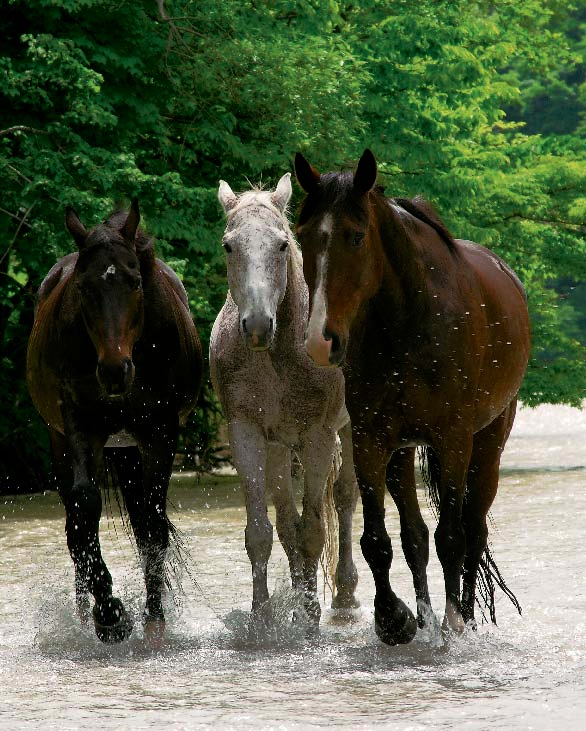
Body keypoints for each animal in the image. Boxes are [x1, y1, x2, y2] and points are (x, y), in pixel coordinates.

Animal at [26, 200, 201, 648]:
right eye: (83, 287)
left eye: (135, 282)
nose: (113, 371)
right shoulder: (80, 426)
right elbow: (85, 509)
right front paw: (110, 615)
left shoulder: (160, 433)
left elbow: (153, 526)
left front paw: (154, 620)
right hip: (63, 441)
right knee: (74, 522)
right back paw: (84, 615)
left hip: (128, 448)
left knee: (141, 521)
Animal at [210, 174, 356, 636]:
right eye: (229, 245)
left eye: (280, 245)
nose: (257, 325)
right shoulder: (249, 435)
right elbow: (265, 531)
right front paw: (264, 616)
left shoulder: (318, 437)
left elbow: (312, 529)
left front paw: (309, 617)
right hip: (278, 450)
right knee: (289, 524)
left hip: (349, 431)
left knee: (345, 499)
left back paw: (344, 595)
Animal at [294, 149, 528, 648]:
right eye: (303, 237)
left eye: (356, 236)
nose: (321, 341)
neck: (407, 321)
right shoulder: (369, 441)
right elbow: (379, 541)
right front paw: (393, 618)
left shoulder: (453, 440)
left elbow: (452, 537)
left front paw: (454, 622)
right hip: (401, 452)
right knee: (414, 536)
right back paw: (423, 616)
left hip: (487, 448)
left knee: (472, 531)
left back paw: (464, 616)